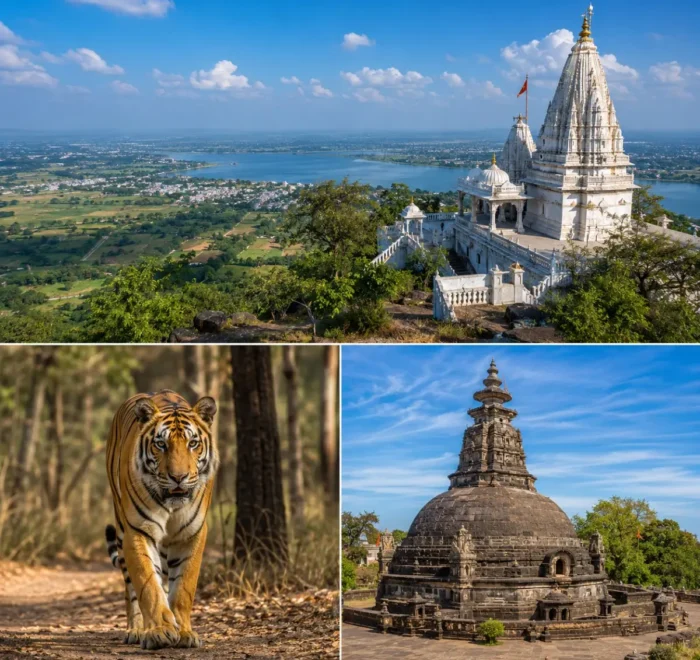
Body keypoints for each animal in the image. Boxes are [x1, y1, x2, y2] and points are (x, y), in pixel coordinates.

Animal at [104, 389, 218, 650]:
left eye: (193, 443)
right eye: (161, 444)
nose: (179, 477)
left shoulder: (192, 533)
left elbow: (184, 587)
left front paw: (184, 632)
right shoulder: (138, 530)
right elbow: (148, 585)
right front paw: (159, 631)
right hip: (121, 526)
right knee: (131, 587)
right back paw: (137, 630)